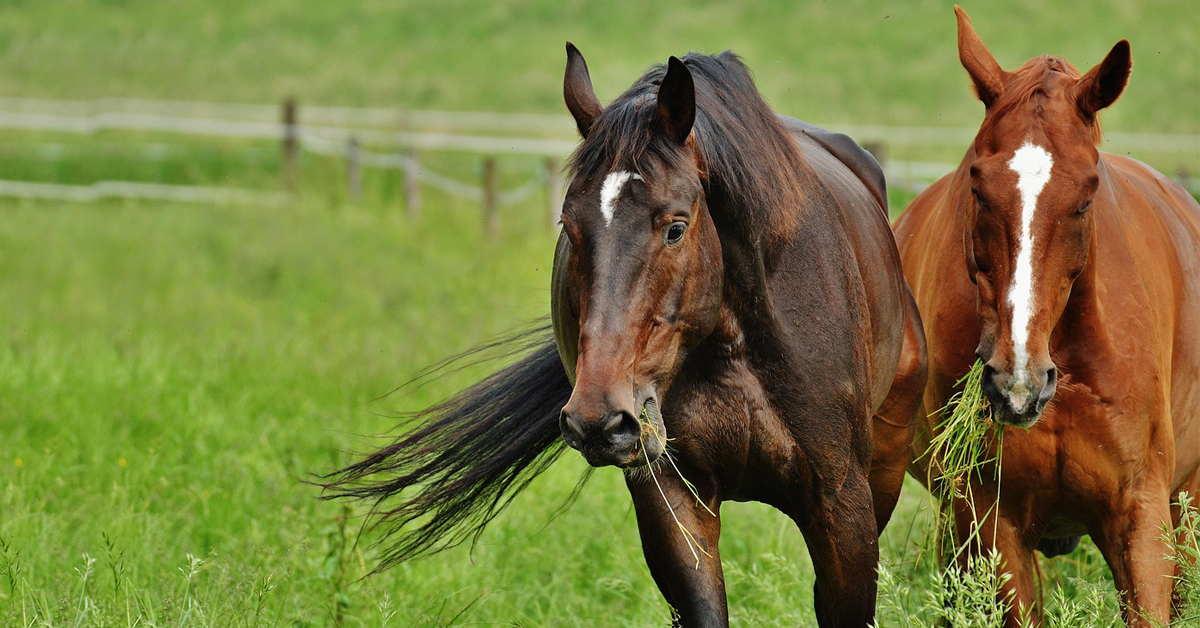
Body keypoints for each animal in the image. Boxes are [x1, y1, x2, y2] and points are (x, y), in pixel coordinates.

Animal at [322, 45, 927, 628]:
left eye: (676, 227)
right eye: (568, 227)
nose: (597, 419)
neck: (735, 350)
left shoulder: (842, 506)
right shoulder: (672, 500)